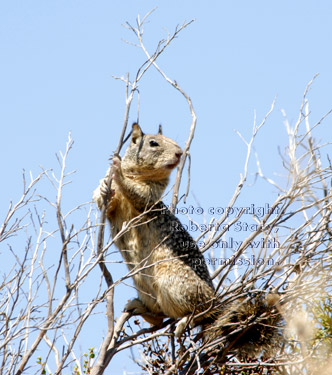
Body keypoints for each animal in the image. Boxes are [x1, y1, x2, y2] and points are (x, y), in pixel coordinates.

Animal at [94, 124, 282, 350]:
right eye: (153, 143)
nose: (179, 153)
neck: (138, 175)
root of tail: (215, 302)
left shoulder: (149, 196)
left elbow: (137, 194)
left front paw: (117, 168)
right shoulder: (112, 206)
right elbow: (102, 201)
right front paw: (105, 187)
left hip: (172, 279)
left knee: (198, 313)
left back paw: (185, 320)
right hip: (141, 283)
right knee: (159, 315)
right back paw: (139, 307)